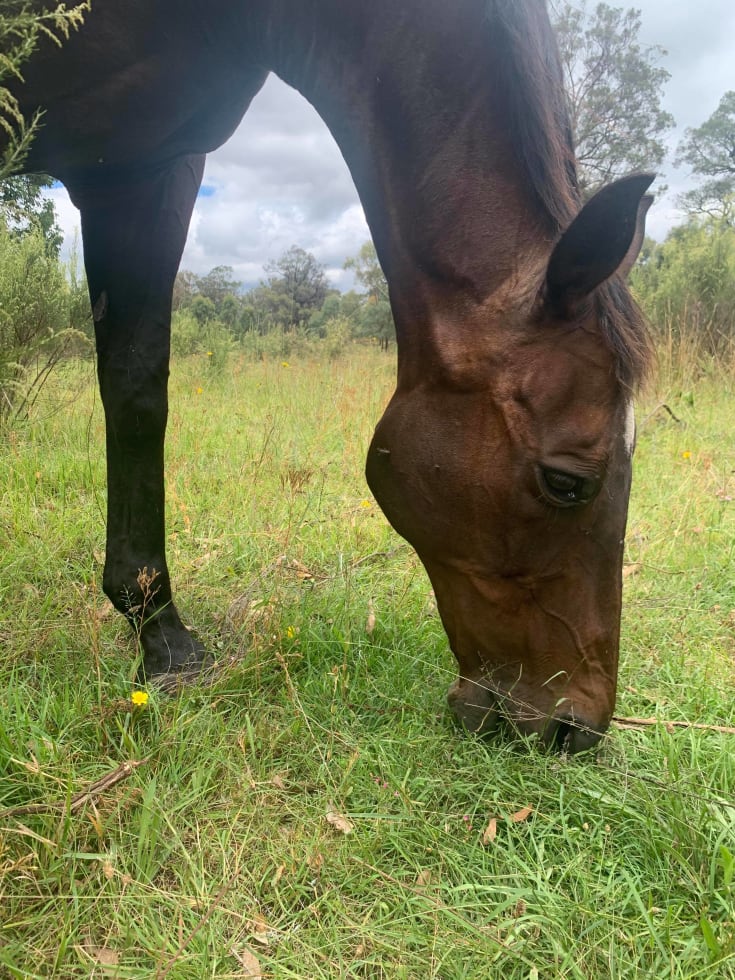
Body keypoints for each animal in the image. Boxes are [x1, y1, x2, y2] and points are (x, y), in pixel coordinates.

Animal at [5, 0, 656, 756]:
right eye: (565, 482)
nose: (574, 727)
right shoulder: (135, 170)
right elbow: (136, 398)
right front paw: (165, 639)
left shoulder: (155, 161)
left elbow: (138, 383)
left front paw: (159, 640)